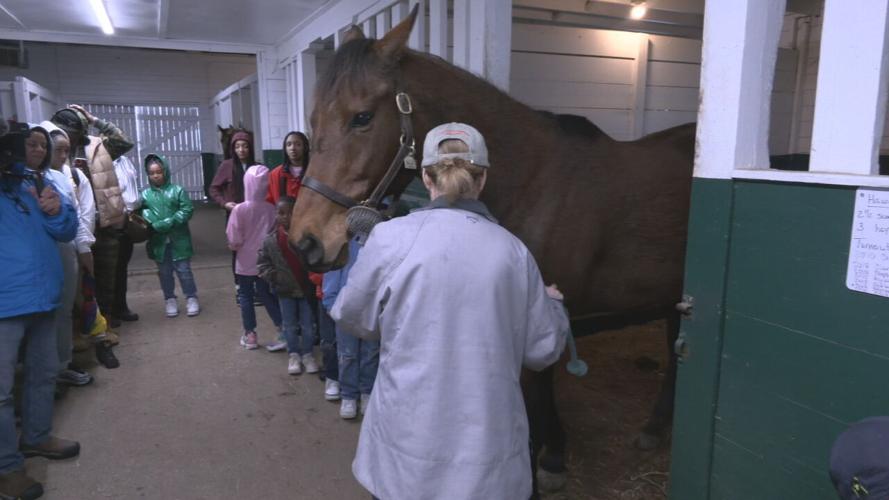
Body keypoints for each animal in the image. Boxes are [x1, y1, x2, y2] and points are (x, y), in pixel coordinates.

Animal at [289, 7, 694, 496]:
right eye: (314, 120)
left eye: (362, 117)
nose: (305, 241)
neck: (536, 181)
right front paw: (554, 454)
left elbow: (536, 394)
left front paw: (547, 462)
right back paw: (655, 427)